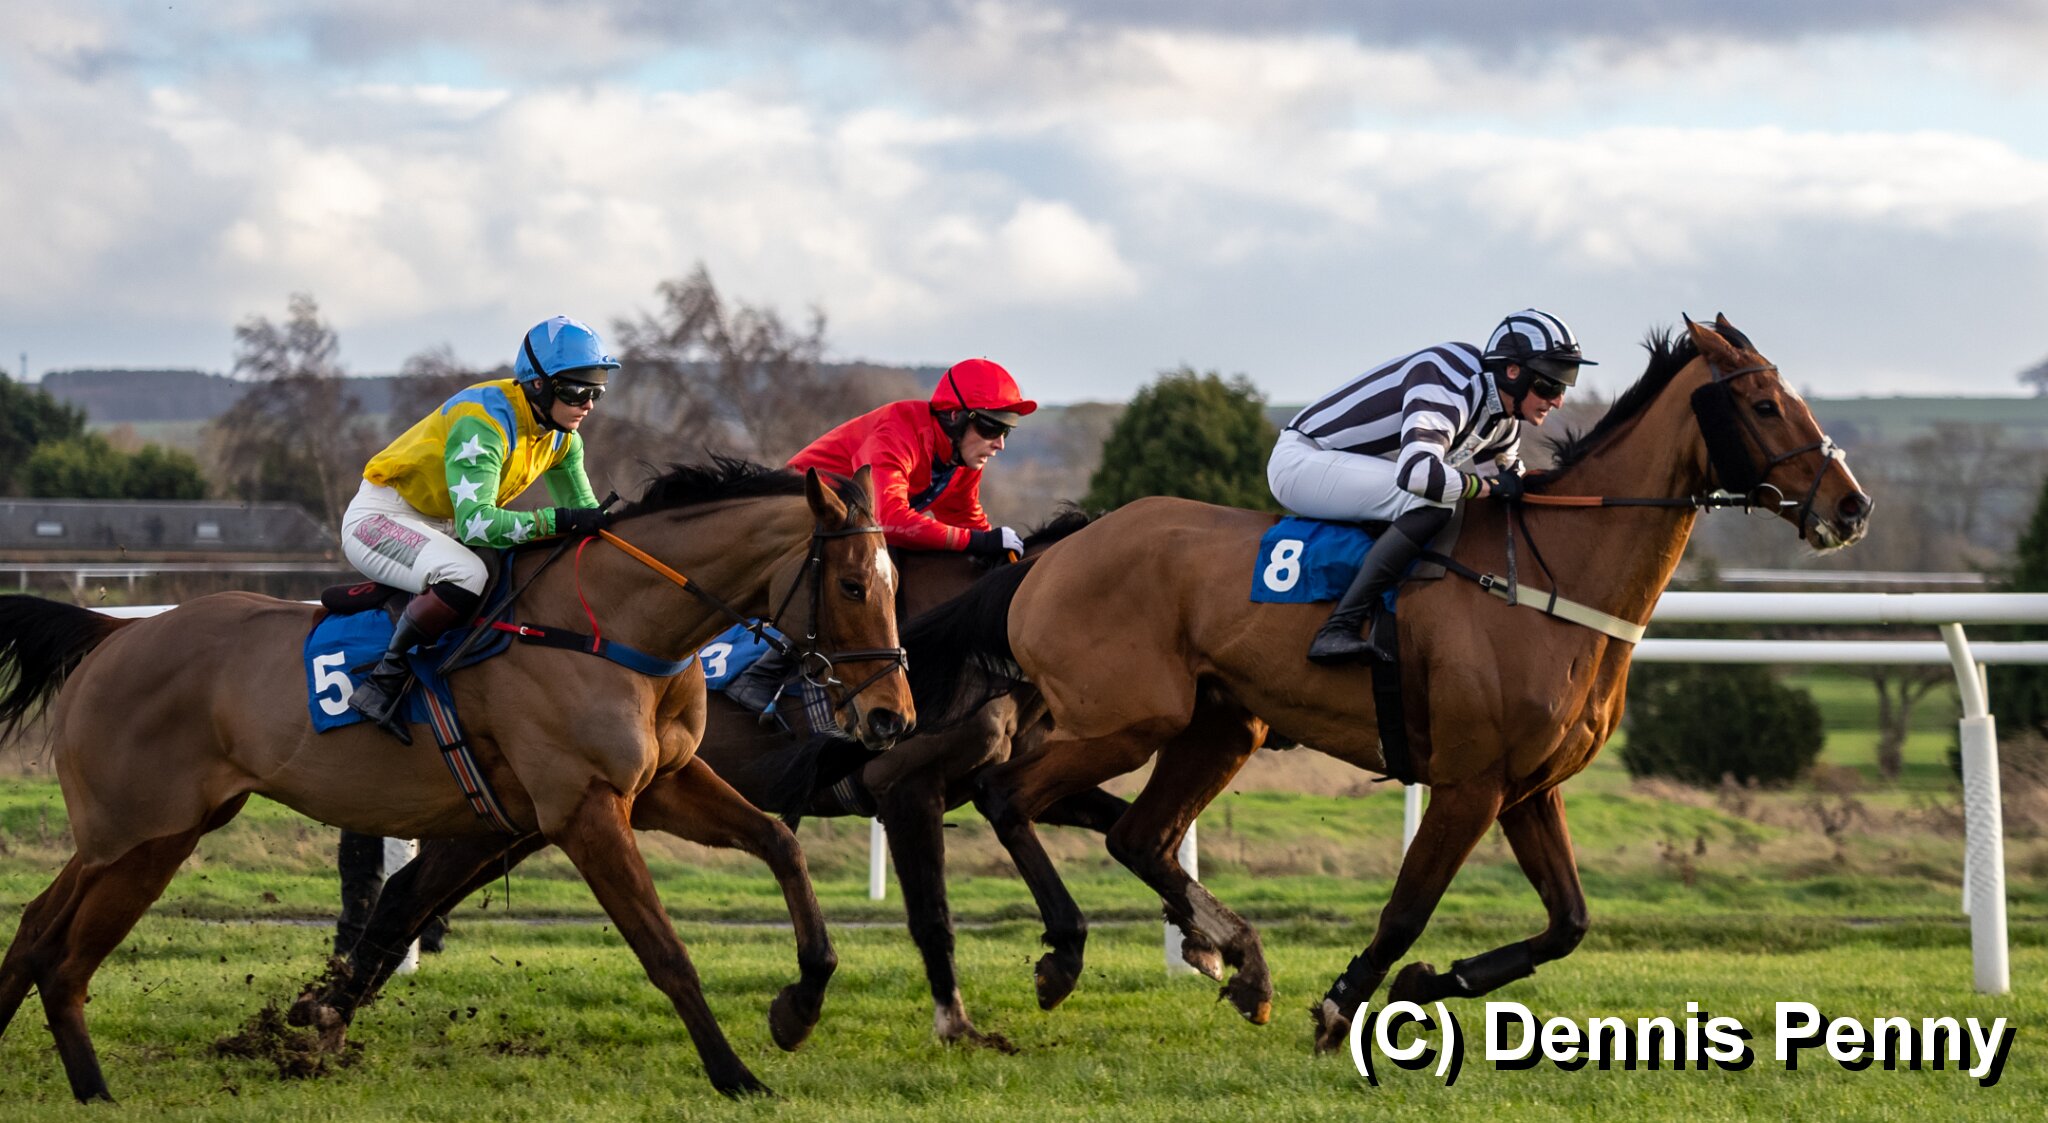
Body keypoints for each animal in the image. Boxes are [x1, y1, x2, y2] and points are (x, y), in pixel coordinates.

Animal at [0, 460, 912, 1102]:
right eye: (852, 583)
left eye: (897, 584)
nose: (891, 717)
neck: (609, 627)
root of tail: (110, 634)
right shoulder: (584, 808)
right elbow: (665, 948)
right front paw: (735, 1074)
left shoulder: (662, 782)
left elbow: (780, 844)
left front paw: (797, 1007)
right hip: (146, 833)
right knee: (63, 956)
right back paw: (94, 1089)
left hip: (146, 831)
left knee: (37, 929)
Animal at [317, 509, 1127, 1053]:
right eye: (852, 587)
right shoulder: (907, 789)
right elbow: (933, 913)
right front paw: (957, 1022)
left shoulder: (992, 777)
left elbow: (1099, 826)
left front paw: (1071, 957)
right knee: (402, 887)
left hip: (518, 816)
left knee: (408, 892)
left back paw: (324, 1009)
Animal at [904, 316, 1871, 1046]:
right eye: (1762, 402)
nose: (1852, 506)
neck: (1553, 575)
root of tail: (1057, 549)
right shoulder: (1471, 782)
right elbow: (1407, 907)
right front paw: (1345, 1002)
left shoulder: (1531, 788)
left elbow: (1569, 923)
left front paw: (1424, 983)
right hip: (1126, 716)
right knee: (1009, 793)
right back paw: (1067, 951)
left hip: (1222, 724)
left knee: (1137, 835)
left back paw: (1240, 962)